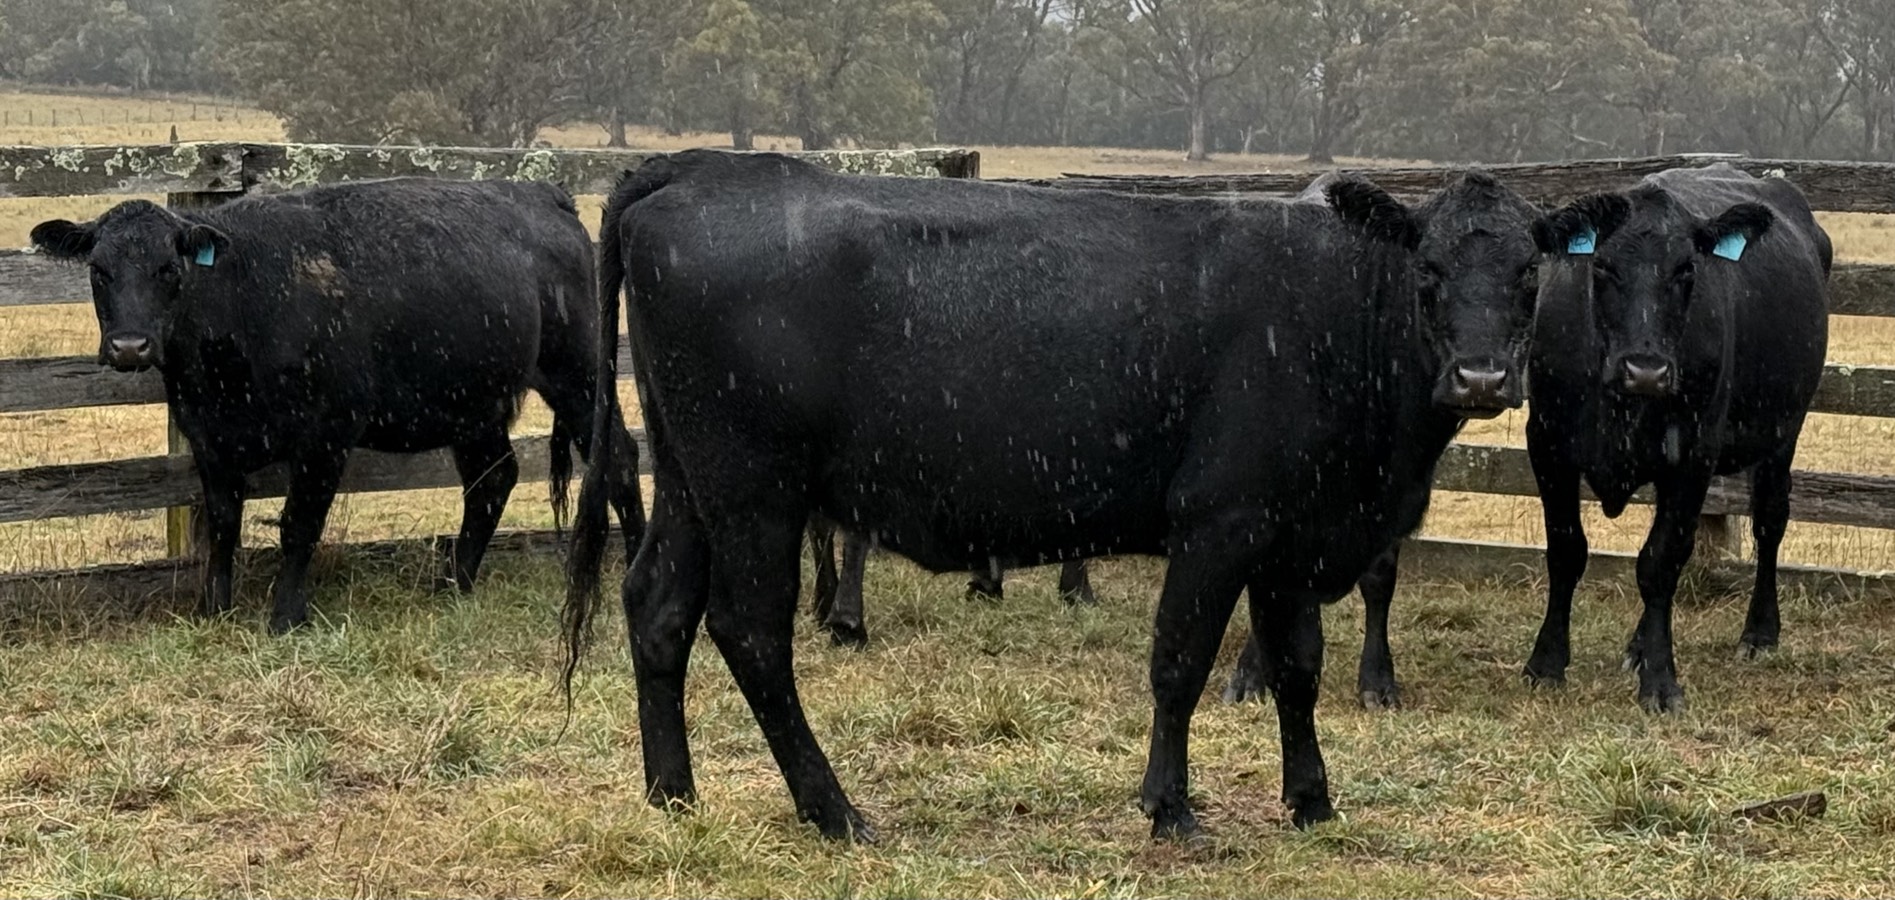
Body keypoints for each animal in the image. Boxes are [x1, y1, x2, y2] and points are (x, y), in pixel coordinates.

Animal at [31, 178, 646, 634]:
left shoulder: (325, 436)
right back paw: (453, 582)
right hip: (474, 404)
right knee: (492, 478)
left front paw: (285, 616)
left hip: (579, 374)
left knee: (618, 455)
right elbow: (225, 524)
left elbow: (298, 524)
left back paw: (638, 557)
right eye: (99, 271)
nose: (129, 346)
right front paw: (215, 608)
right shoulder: (210, 438)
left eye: (168, 269)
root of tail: (545, 196)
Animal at [1221, 171, 1545, 709]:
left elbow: (1379, 578)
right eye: (1427, 267)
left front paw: (1377, 680)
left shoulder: (1402, 482)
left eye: (1530, 270)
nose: (1480, 381)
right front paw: (1249, 675)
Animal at [1518, 163, 1830, 712]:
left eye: (1686, 270)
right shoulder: (1549, 444)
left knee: (1770, 522)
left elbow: (1661, 561)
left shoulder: (1692, 456)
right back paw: (1638, 646)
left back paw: (1758, 632)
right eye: (1603, 267)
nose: (1646, 369)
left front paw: (1661, 681)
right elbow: (1566, 550)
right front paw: (1547, 662)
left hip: (1782, 434)